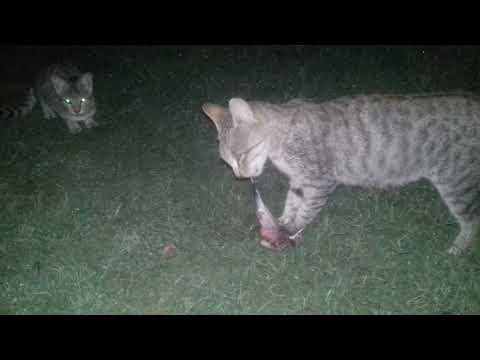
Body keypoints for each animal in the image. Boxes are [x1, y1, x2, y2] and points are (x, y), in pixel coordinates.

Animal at [202, 94, 480, 255]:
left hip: (456, 182)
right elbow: (292, 202)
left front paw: (289, 230)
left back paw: (457, 250)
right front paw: (281, 222)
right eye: (228, 162)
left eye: (241, 155)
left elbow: (305, 211)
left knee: (472, 221)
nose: (239, 176)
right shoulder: (300, 179)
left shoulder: (319, 181)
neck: (281, 140)